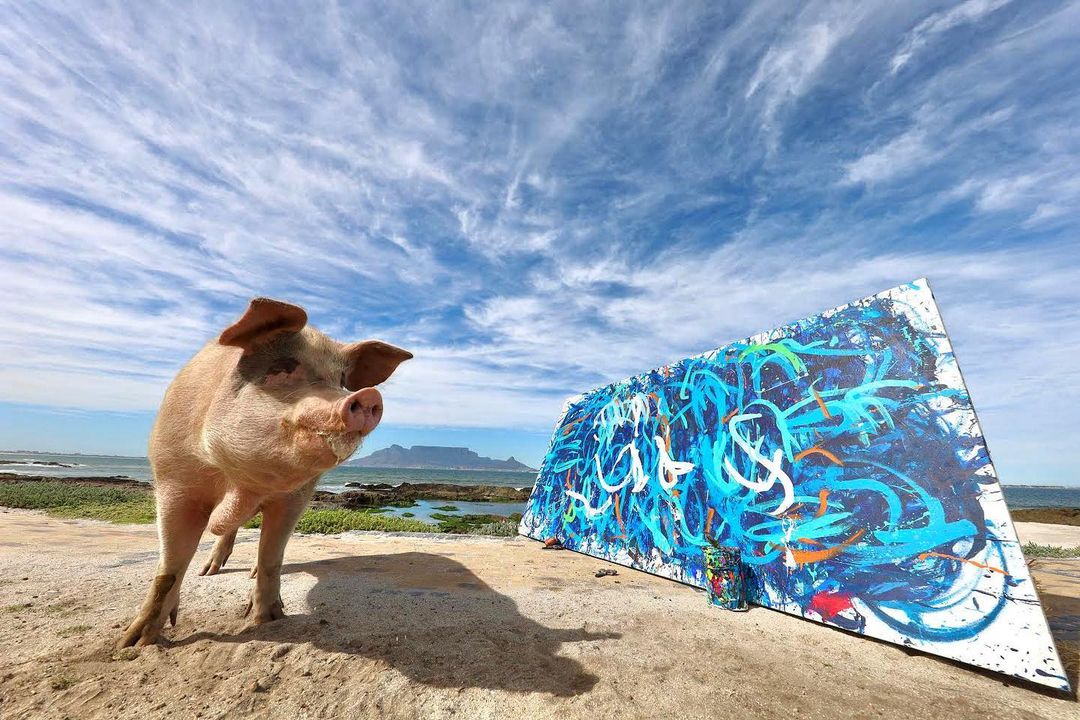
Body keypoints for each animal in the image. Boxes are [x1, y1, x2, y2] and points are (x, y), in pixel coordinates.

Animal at [118, 298, 411, 647]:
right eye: (282, 366)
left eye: (340, 379)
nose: (367, 395)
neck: (242, 483)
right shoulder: (173, 479)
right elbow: (169, 567)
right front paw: (132, 643)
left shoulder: (295, 497)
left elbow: (272, 555)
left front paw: (269, 620)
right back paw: (208, 571)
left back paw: (246, 573)